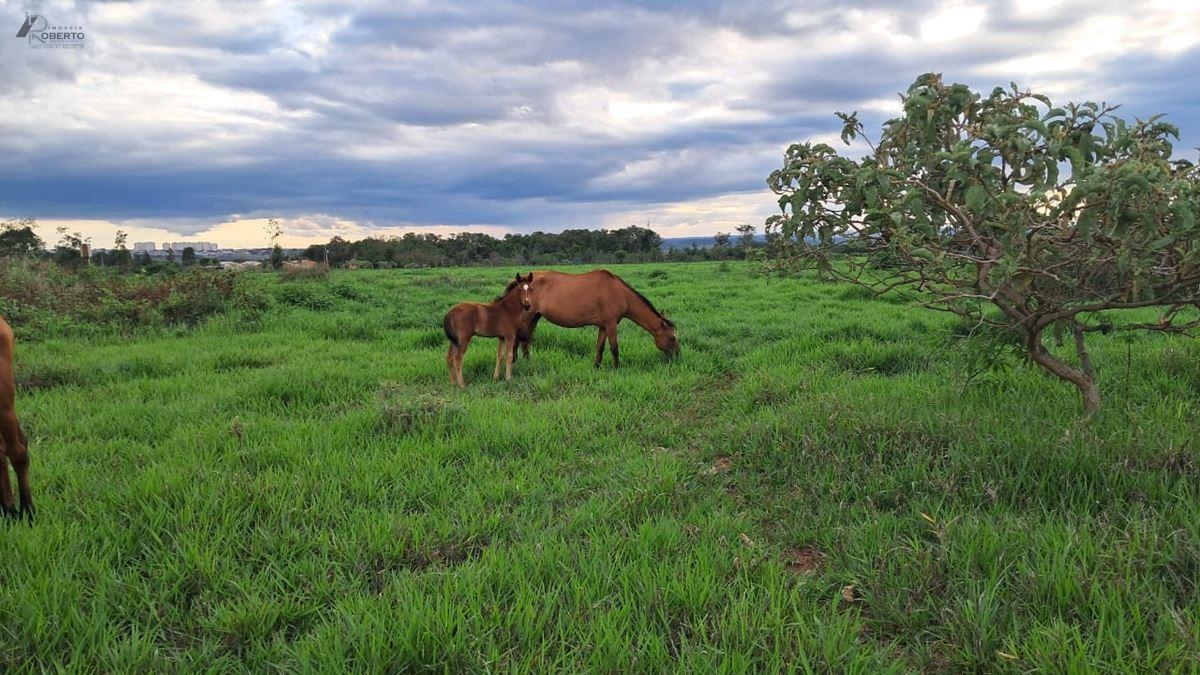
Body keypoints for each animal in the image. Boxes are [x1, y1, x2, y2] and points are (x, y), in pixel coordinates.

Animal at [516, 266, 681, 365]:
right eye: (672, 337)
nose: (678, 356)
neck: (619, 293)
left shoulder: (603, 326)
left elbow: (600, 347)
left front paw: (597, 366)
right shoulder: (611, 324)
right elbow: (614, 348)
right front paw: (617, 368)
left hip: (535, 317)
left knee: (526, 341)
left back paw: (528, 361)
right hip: (528, 317)